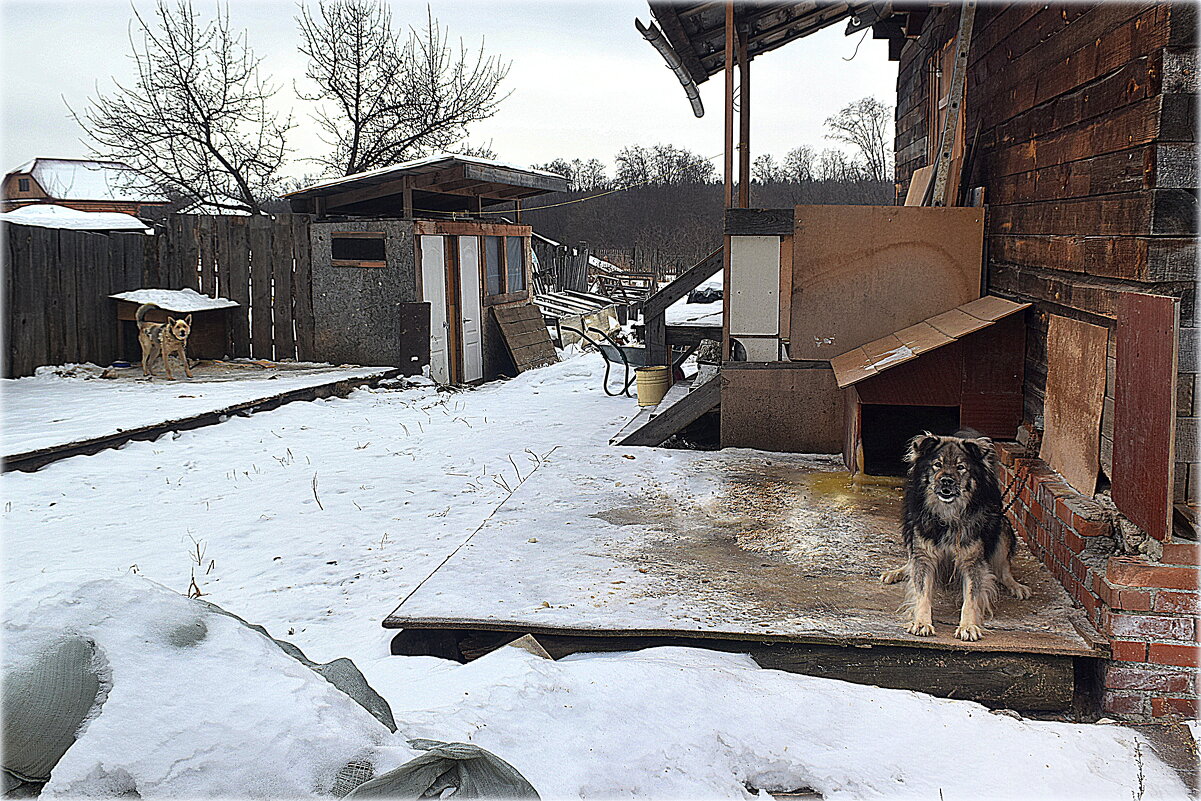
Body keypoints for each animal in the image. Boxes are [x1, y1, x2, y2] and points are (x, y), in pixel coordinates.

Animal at [883, 429, 1032, 643]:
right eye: (937, 464)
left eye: (961, 467)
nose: (946, 480)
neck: (949, 515)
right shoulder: (924, 554)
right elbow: (922, 591)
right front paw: (921, 622)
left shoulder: (972, 560)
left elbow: (971, 597)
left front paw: (968, 626)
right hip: (910, 529)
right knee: (911, 560)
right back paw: (899, 572)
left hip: (1002, 528)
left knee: (1003, 570)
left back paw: (1016, 586)